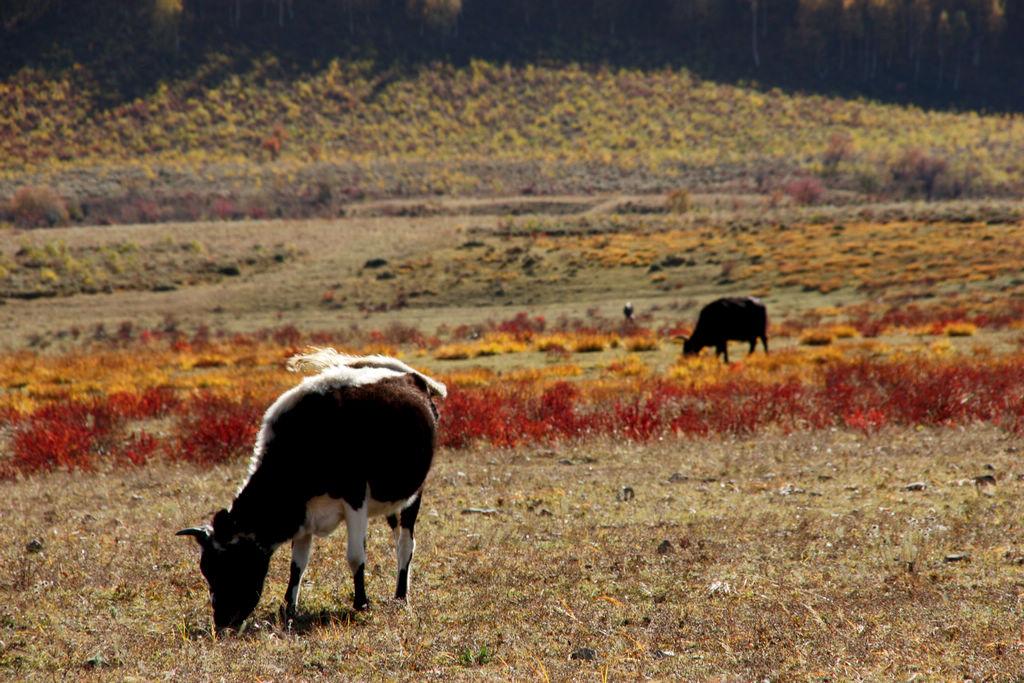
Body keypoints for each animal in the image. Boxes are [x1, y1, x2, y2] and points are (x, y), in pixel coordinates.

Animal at [175, 352, 444, 630]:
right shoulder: (303, 513)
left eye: (231, 564)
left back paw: (401, 596)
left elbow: (355, 556)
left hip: (414, 494)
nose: (222, 621)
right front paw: (289, 609)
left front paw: (361, 603)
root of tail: (411, 376)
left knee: (406, 543)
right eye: (206, 570)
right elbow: (297, 565)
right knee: (397, 536)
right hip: (391, 499)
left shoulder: (355, 498)